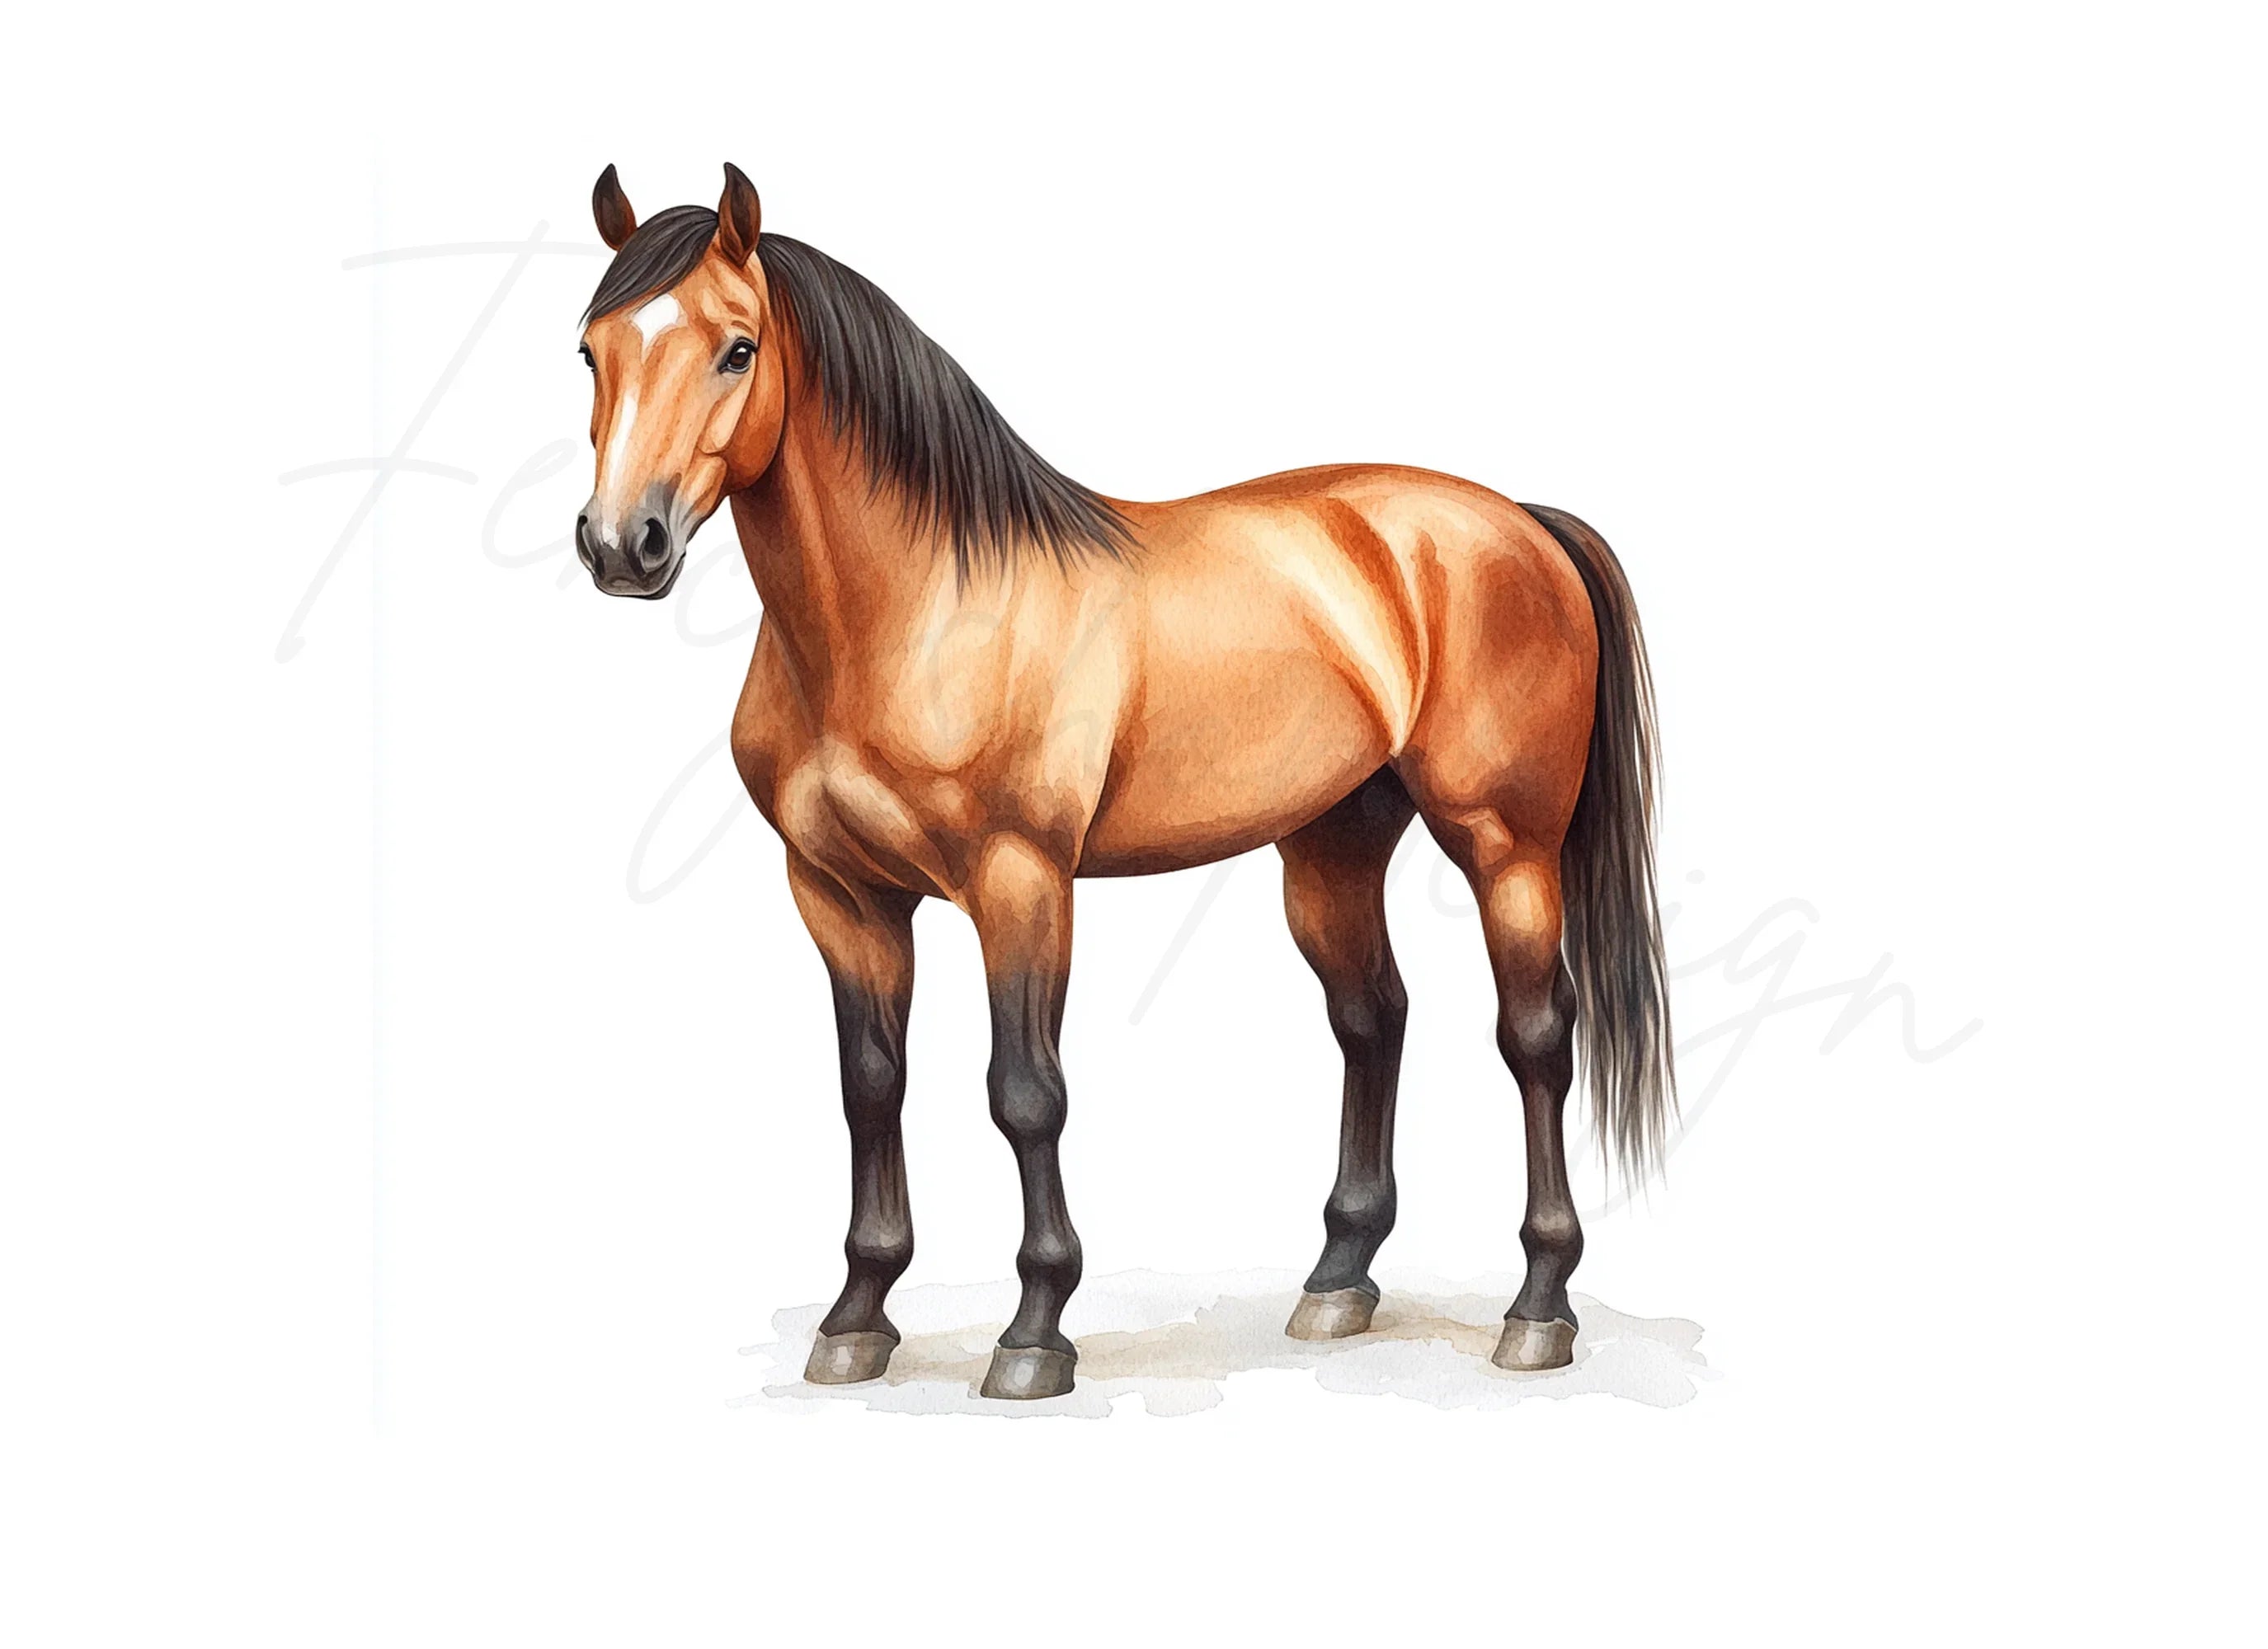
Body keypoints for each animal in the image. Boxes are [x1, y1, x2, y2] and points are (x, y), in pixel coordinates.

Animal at [570, 163, 1675, 1400]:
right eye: (590, 350)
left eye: (737, 348)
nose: (622, 545)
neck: (914, 610)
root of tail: (1519, 521)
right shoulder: (839, 897)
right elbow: (869, 1088)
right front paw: (857, 1315)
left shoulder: (1020, 882)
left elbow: (1024, 1092)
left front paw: (1034, 1330)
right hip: (1332, 845)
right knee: (1371, 1018)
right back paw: (1336, 1283)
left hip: (1504, 845)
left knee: (1534, 1037)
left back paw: (1537, 1307)